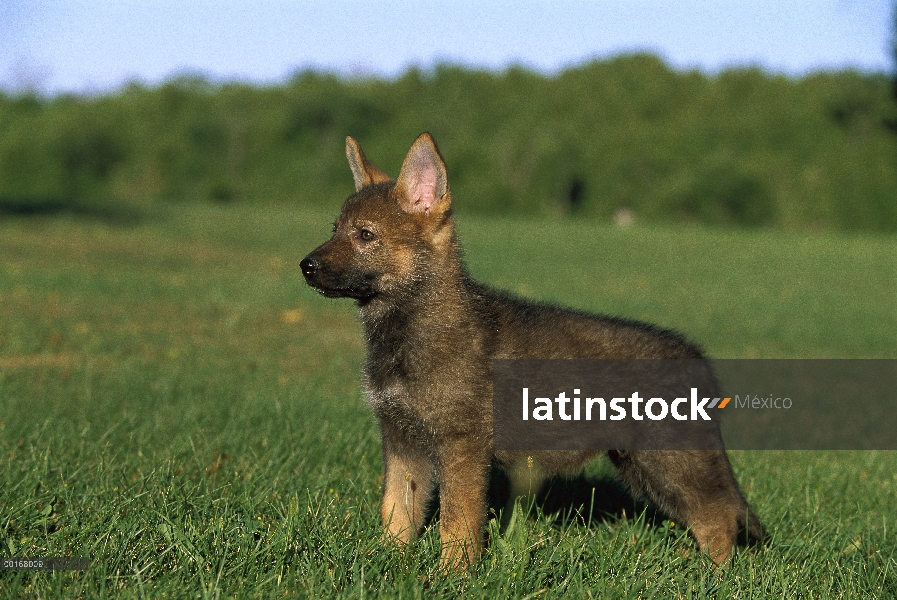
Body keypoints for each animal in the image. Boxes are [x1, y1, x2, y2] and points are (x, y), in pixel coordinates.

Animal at [300, 134, 764, 568]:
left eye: (365, 235)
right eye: (335, 229)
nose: (305, 265)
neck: (411, 326)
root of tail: (696, 357)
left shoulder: (462, 448)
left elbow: (457, 524)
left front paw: (452, 575)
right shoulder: (401, 443)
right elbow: (396, 513)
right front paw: (389, 563)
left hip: (670, 463)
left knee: (719, 518)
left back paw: (714, 579)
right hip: (643, 466)